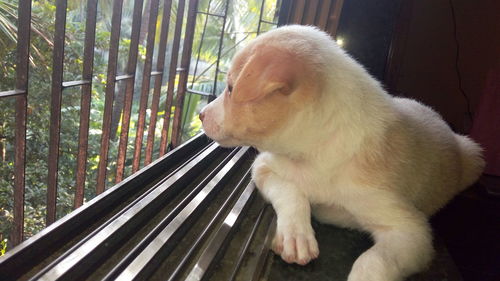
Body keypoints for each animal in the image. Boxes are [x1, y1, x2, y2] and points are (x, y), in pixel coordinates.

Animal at [199, 25, 484, 278]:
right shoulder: (264, 167)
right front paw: (296, 235)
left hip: (474, 156)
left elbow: (373, 261)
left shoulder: (411, 233)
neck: (318, 154)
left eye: (231, 88)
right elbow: (291, 192)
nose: (201, 114)